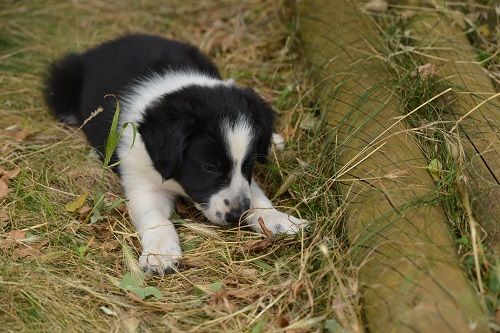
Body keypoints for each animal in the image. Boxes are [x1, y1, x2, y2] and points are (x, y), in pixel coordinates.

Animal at [45, 33, 306, 274]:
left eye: (249, 164)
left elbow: (256, 193)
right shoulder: (142, 182)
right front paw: (160, 252)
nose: (236, 215)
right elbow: (155, 217)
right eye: (209, 167)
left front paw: (277, 219)